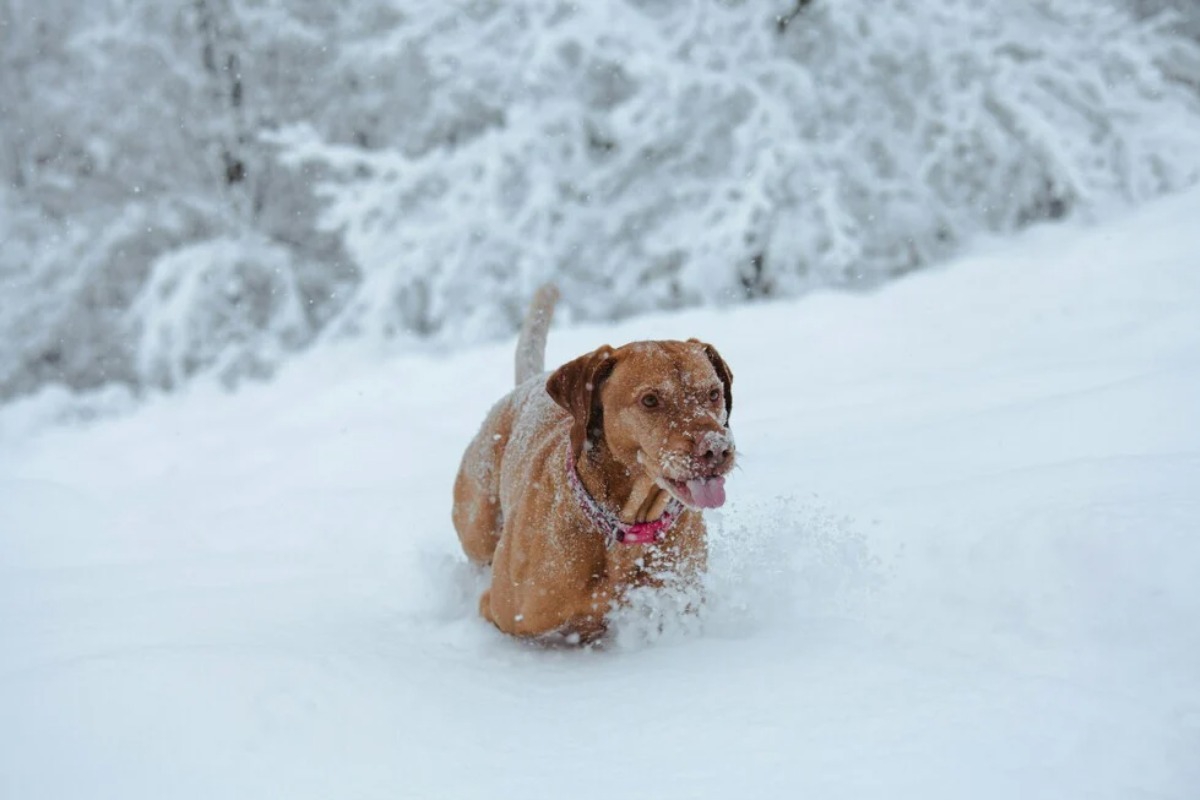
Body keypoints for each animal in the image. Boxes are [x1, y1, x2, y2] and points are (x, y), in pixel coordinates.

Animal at [451, 284, 729, 642]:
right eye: (650, 400)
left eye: (713, 393)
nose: (717, 449)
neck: (624, 524)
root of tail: (526, 384)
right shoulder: (503, 612)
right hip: (478, 524)